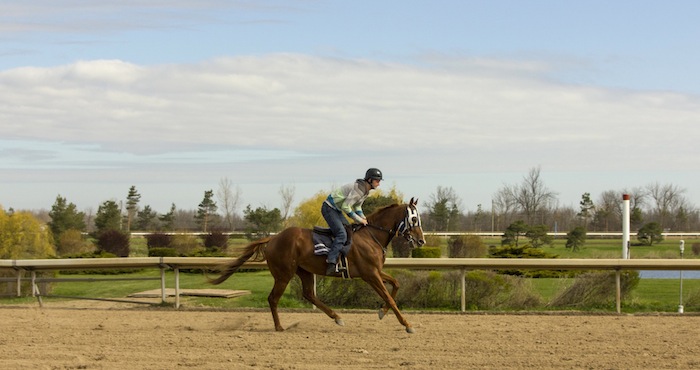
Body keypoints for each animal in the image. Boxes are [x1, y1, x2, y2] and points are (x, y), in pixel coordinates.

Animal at [208, 198, 426, 334]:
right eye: (414, 219)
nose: (421, 241)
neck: (371, 236)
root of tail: (272, 239)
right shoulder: (370, 274)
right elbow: (390, 297)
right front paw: (407, 325)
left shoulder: (375, 272)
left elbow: (396, 285)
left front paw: (382, 312)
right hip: (283, 274)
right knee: (273, 298)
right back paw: (279, 327)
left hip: (304, 271)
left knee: (309, 294)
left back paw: (336, 317)